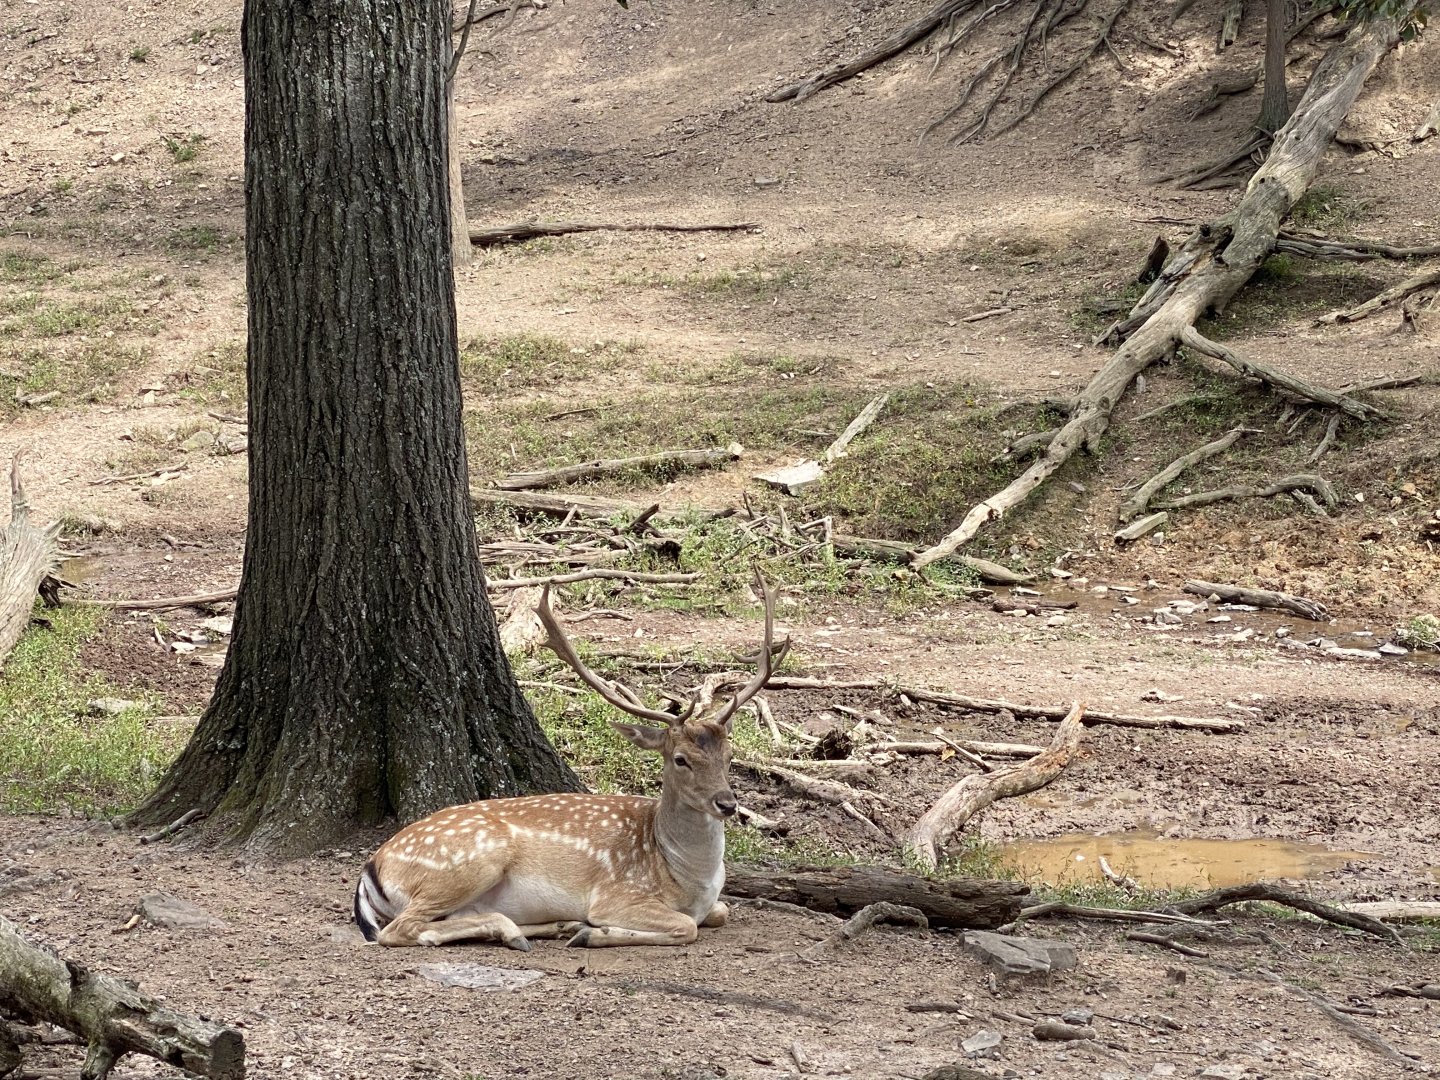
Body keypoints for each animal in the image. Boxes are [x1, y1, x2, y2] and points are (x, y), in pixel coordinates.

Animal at [354, 571, 788, 949]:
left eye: (729, 755)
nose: (727, 803)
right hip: (469, 862)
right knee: (399, 929)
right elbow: (686, 926)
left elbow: (721, 912)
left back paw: (552, 926)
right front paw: (594, 933)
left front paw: (583, 931)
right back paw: (521, 931)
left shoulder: (711, 903)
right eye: (681, 759)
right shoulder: (617, 894)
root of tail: (372, 866)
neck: (690, 879)